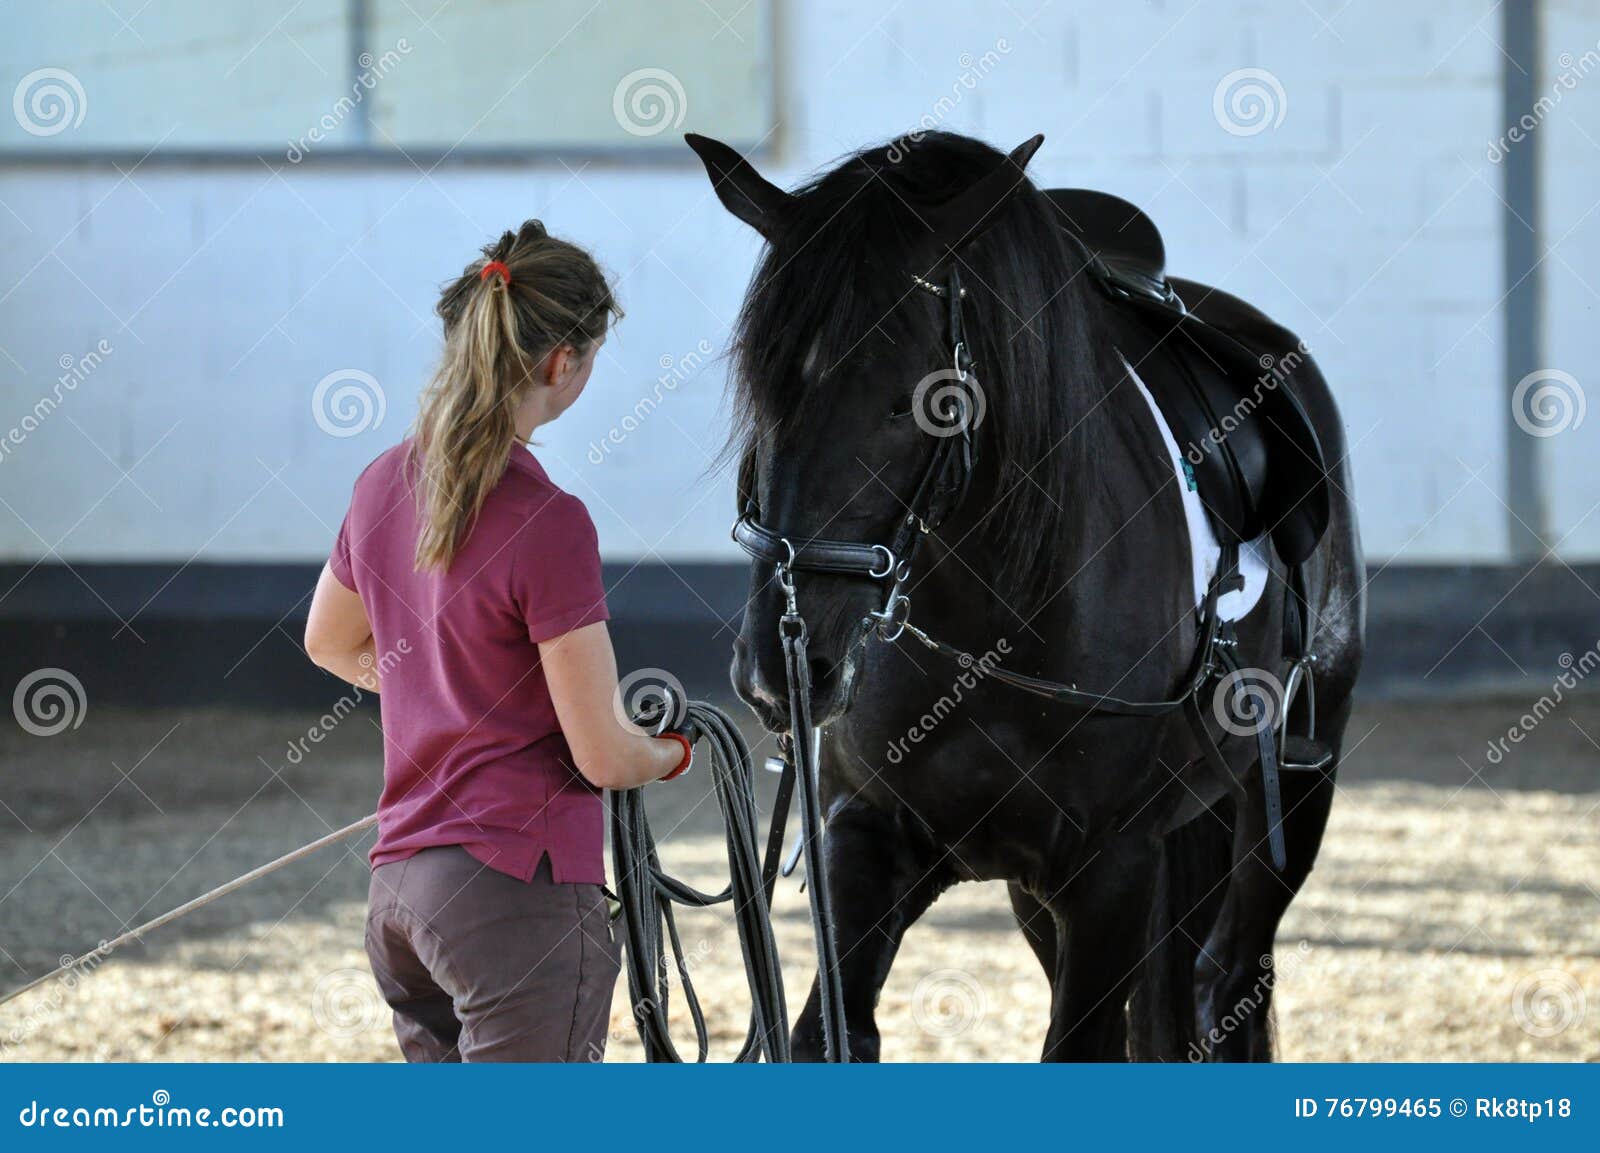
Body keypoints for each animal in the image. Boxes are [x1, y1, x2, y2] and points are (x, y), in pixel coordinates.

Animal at [688, 127, 1363, 1061]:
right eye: (764, 393)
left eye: (919, 403)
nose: (780, 670)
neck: (996, 623)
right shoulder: (868, 839)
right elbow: (832, 1028)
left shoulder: (1111, 871)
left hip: (1294, 795)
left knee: (1223, 982)